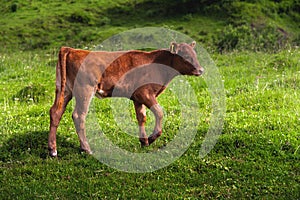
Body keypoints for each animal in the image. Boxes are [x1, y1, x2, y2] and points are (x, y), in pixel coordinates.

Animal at [48, 41, 204, 157]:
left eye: (195, 54)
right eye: (185, 55)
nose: (201, 69)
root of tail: (71, 49)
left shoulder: (137, 97)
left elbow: (141, 117)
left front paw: (144, 141)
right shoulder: (145, 93)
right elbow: (159, 112)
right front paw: (152, 138)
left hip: (63, 90)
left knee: (55, 112)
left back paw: (53, 150)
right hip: (84, 90)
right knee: (78, 115)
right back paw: (86, 148)